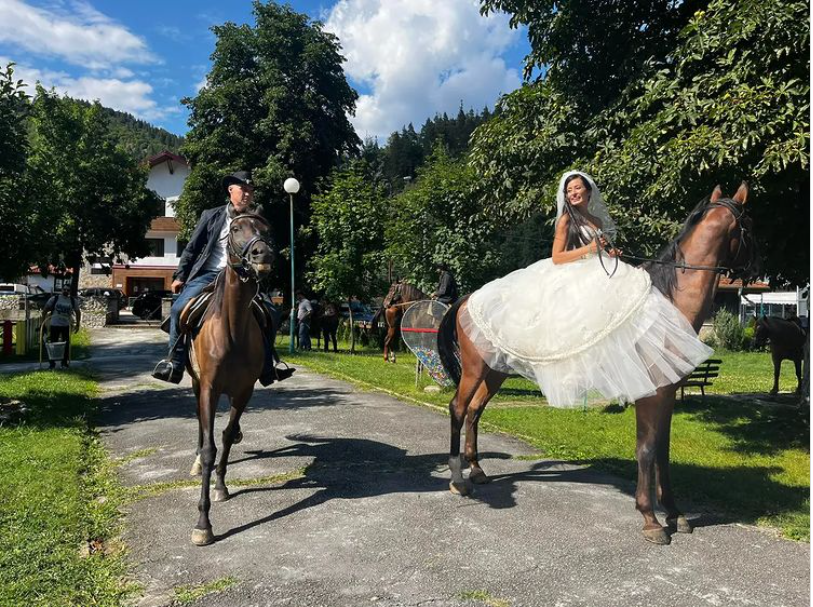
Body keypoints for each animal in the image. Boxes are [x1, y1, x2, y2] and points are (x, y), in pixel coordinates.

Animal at [185, 213, 272, 548]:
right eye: (235, 229)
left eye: (266, 229)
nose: (263, 254)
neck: (232, 329)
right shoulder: (209, 388)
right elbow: (210, 446)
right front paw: (203, 524)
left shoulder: (244, 390)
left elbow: (226, 435)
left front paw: (221, 485)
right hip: (197, 384)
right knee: (199, 423)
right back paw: (196, 461)